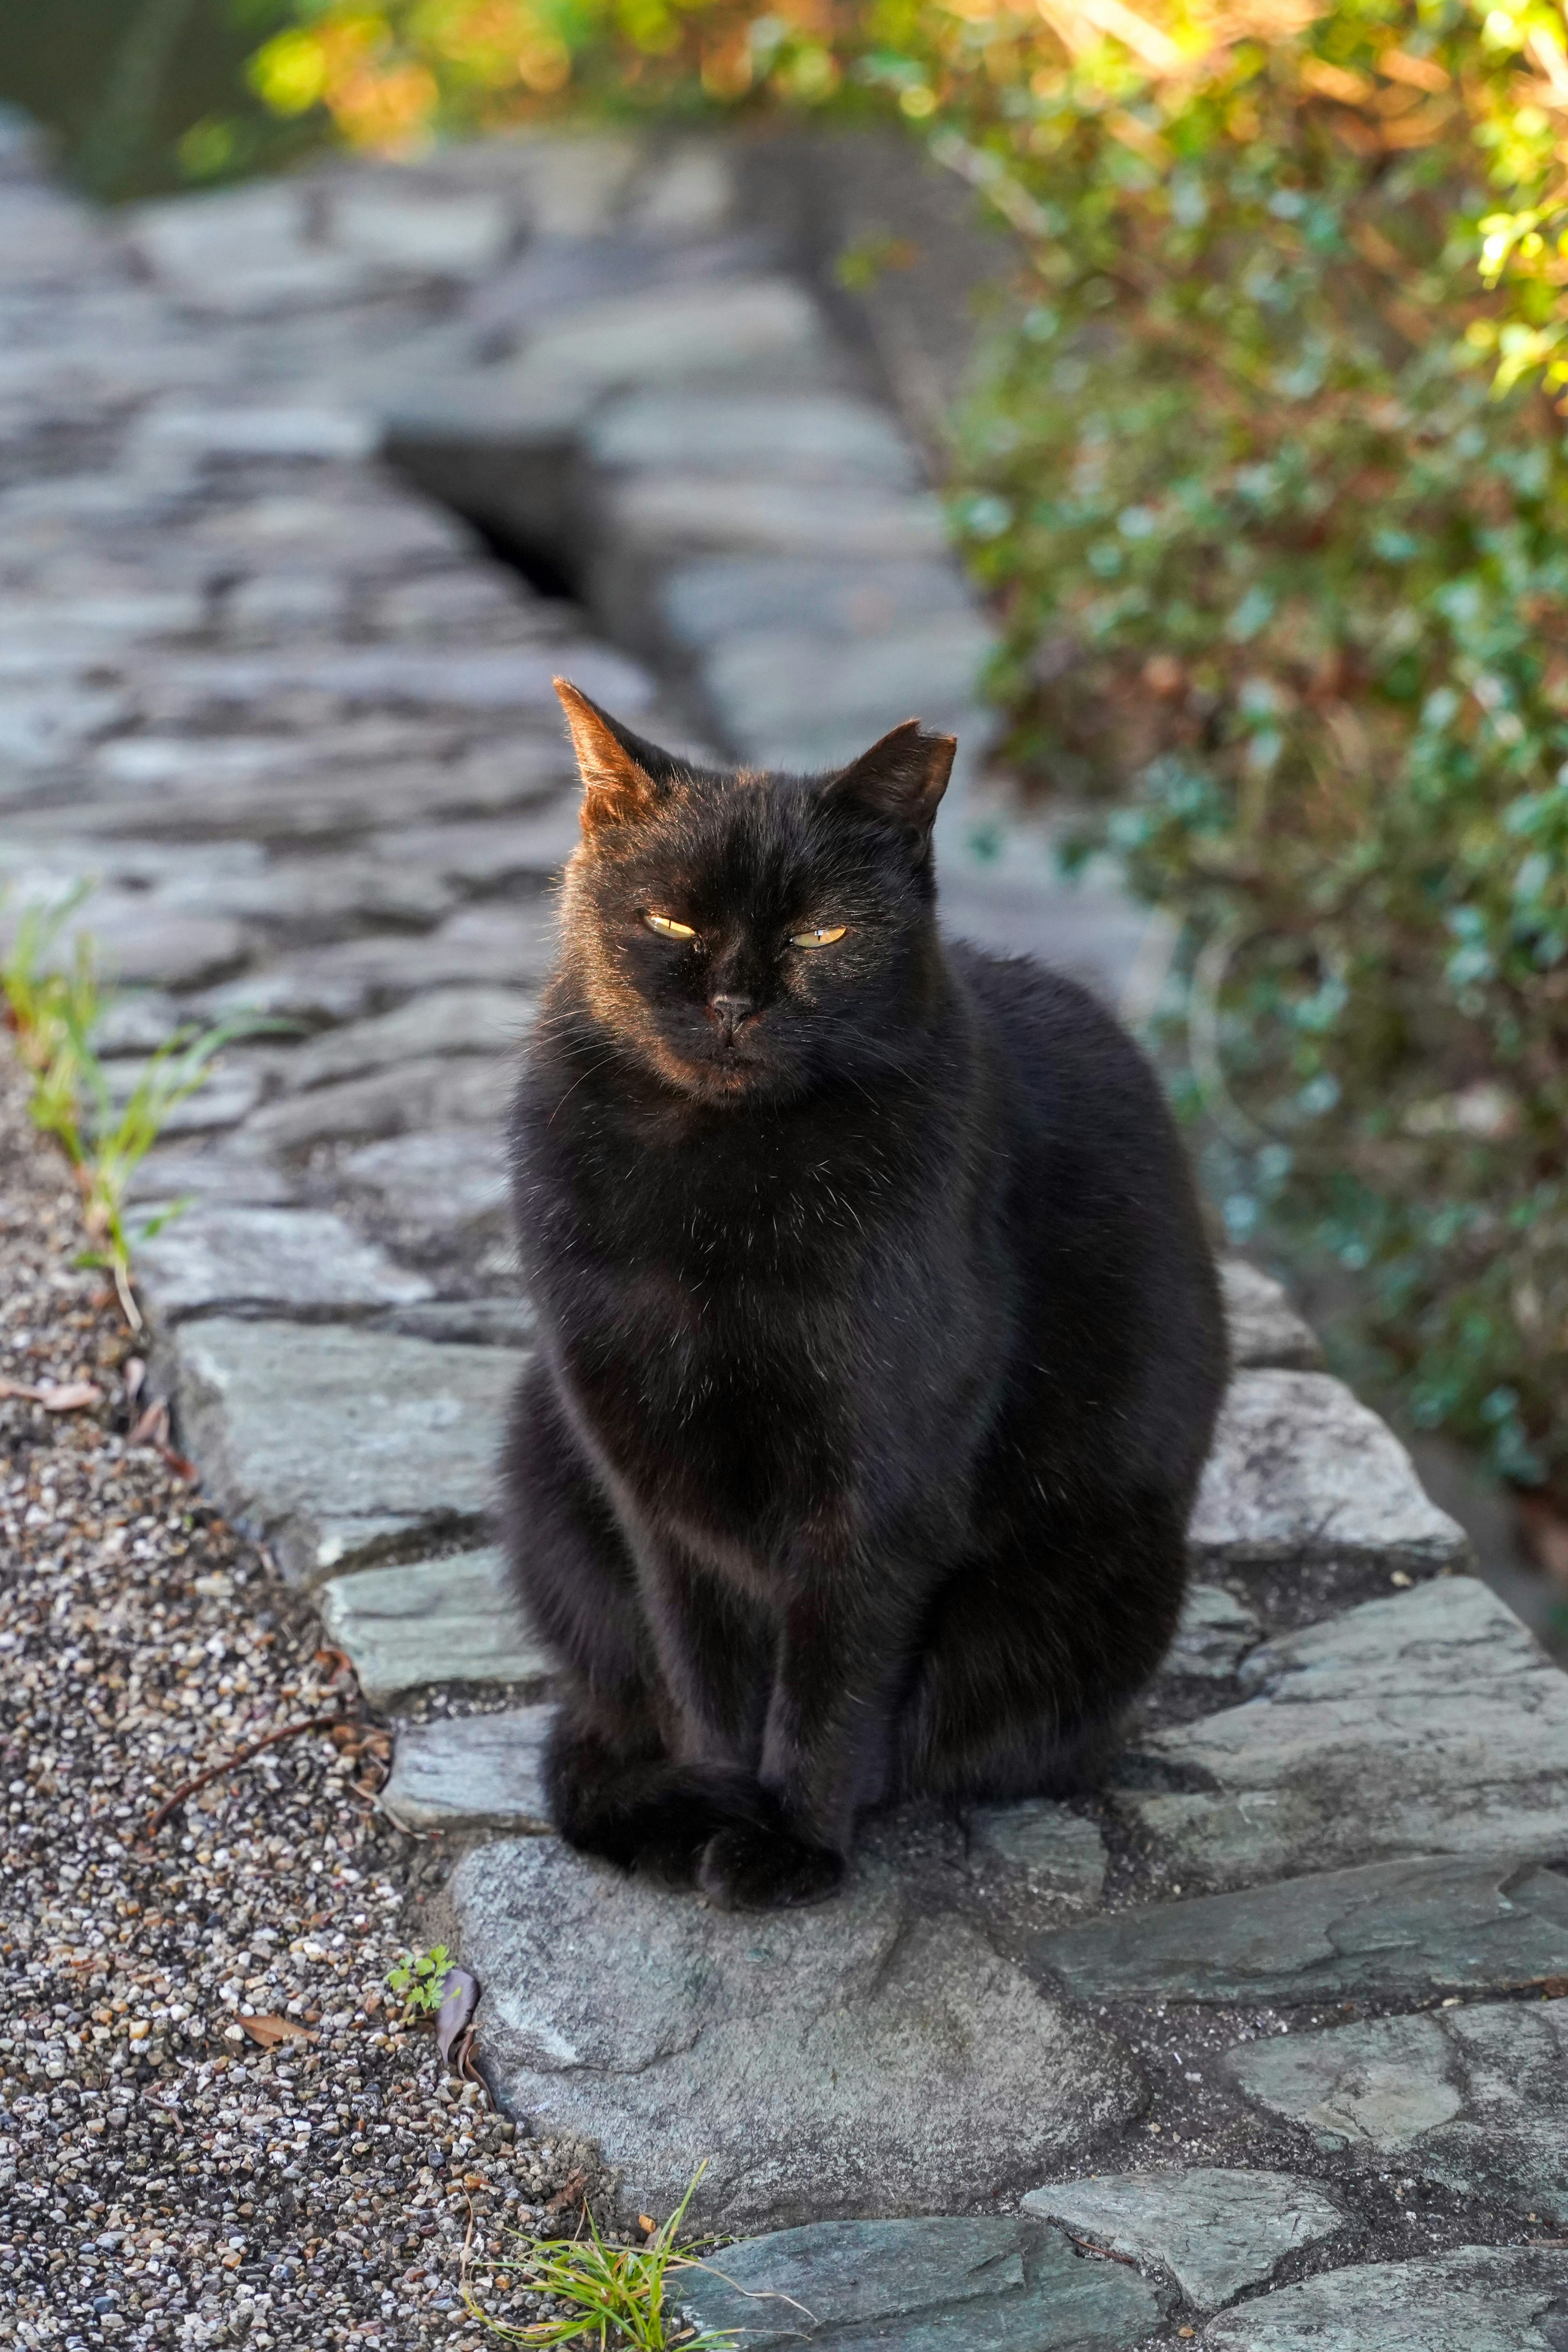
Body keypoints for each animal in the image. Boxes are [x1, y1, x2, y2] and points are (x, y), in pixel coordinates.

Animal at [503, 677, 1222, 1910]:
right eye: (672, 924)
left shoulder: (879, 1487)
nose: (736, 1000)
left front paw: (790, 1841)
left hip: (1099, 1586)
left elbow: (832, 1681)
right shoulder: (654, 1484)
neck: (720, 1188)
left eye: (821, 934)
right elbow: (704, 1671)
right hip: (538, 1450)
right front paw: (713, 1798)